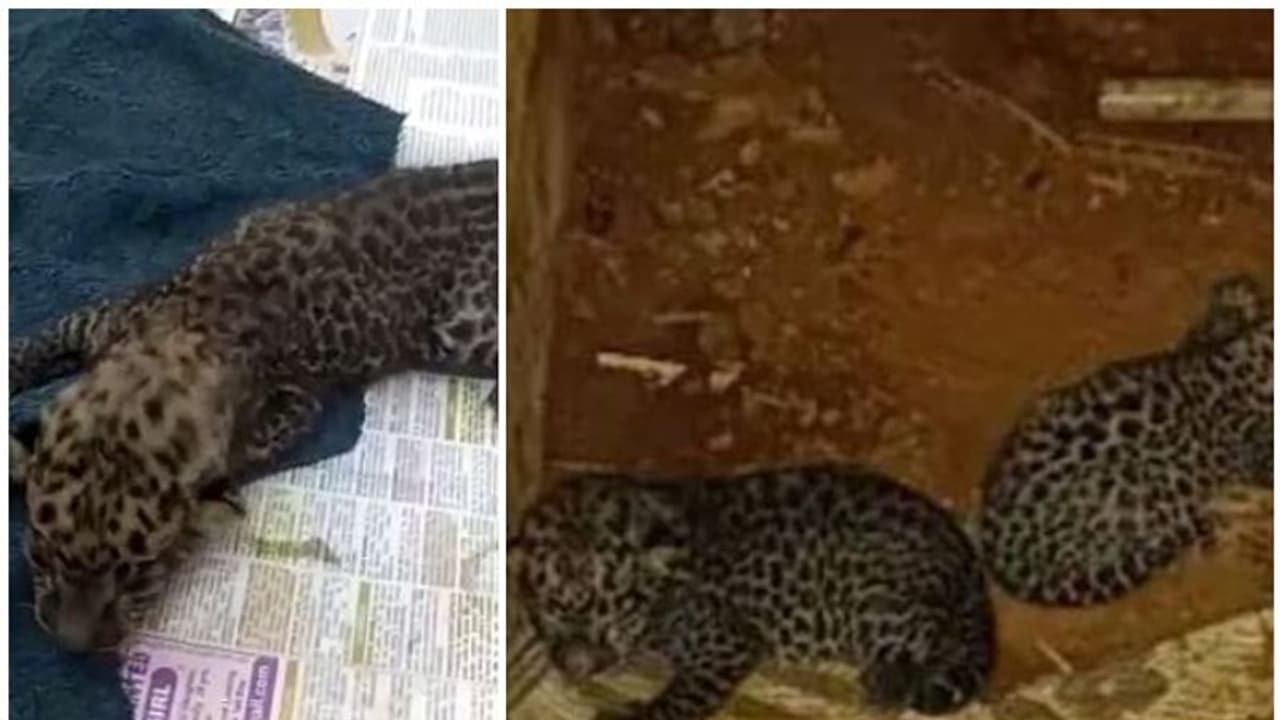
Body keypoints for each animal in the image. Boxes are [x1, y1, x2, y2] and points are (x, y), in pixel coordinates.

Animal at [10, 159, 497, 652]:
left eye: (136, 573)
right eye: (42, 553)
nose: (73, 644)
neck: (177, 338)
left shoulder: (296, 404)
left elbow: (244, 447)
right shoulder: (100, 321)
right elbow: (33, 345)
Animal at [509, 463, 995, 719]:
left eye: (615, 615)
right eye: (548, 613)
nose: (576, 666)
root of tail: (967, 556)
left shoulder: (727, 643)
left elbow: (681, 699)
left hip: (876, 596)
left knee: (943, 641)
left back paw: (890, 684)